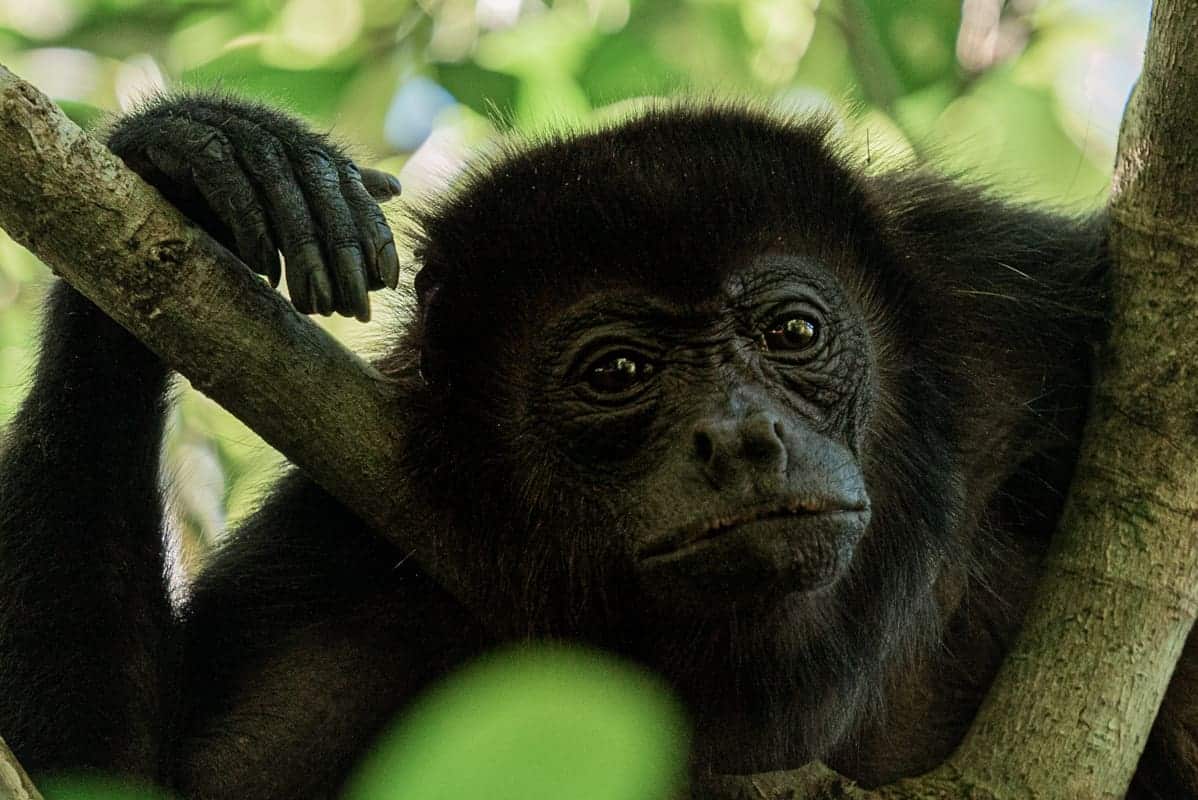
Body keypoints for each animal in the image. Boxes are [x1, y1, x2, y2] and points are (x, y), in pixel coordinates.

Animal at [0, 94, 1195, 799]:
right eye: (616, 373)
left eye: (793, 334)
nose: (741, 438)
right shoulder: (351, 562)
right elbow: (126, 776)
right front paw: (193, 161)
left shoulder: (1019, 312)